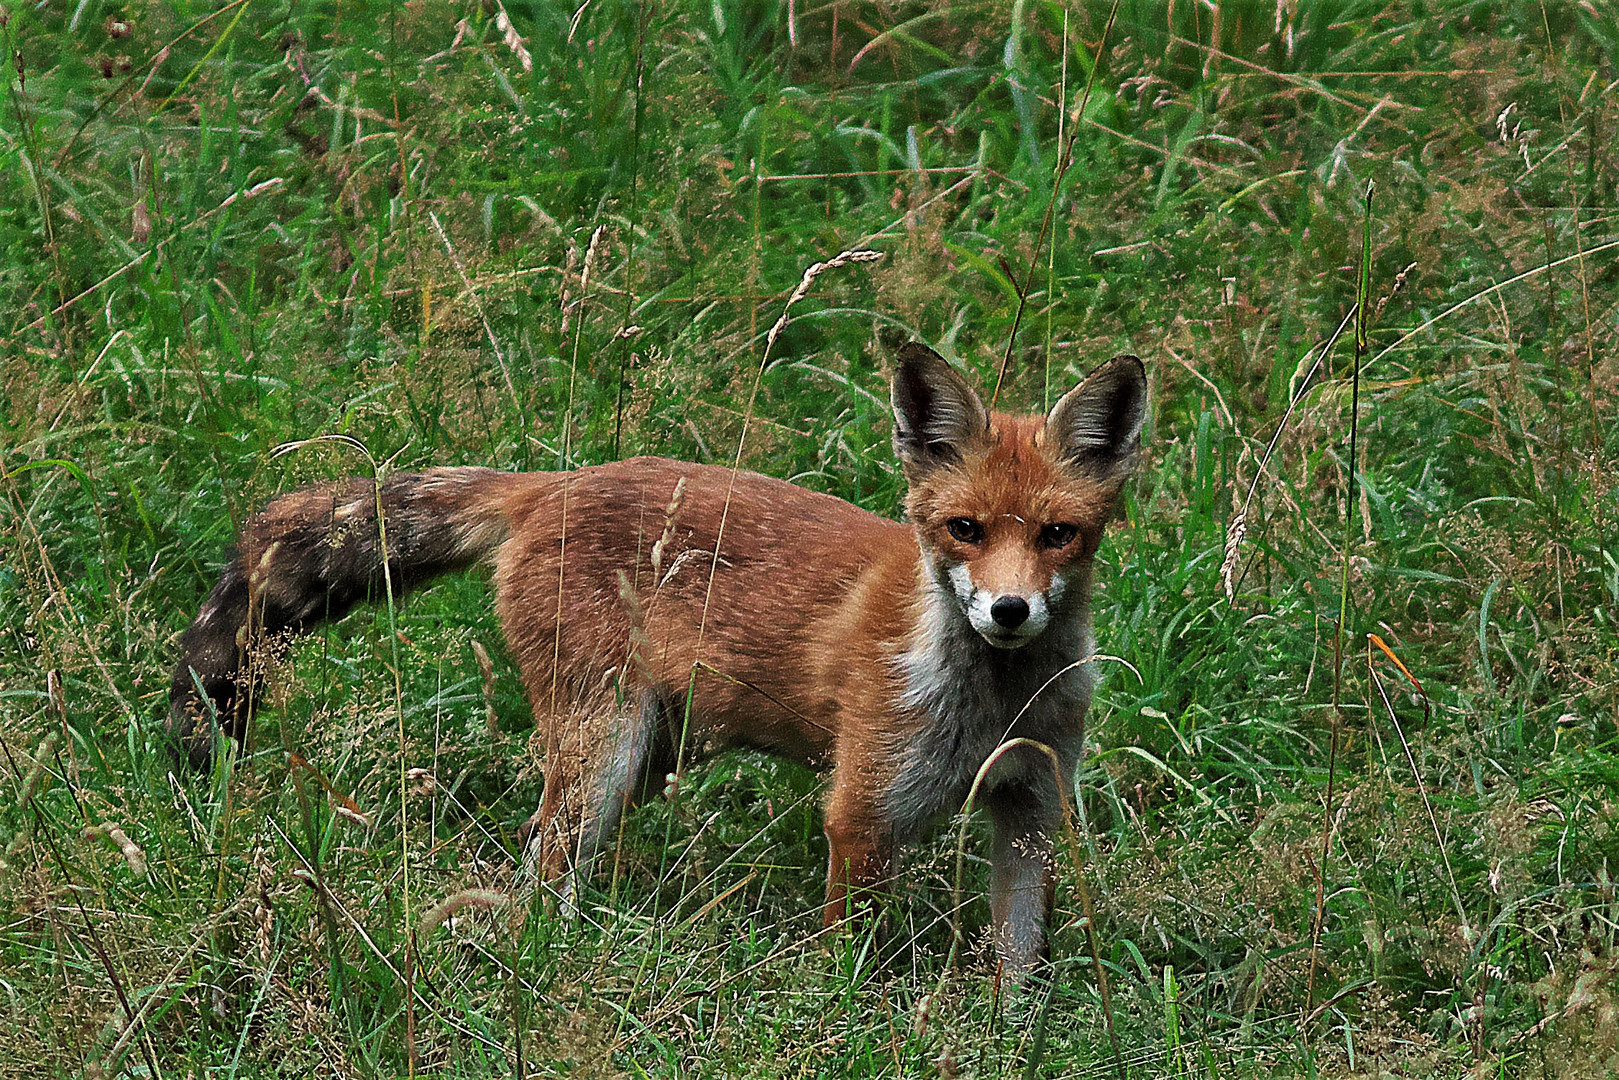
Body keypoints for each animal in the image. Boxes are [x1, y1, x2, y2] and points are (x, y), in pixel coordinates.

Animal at [170, 346, 1146, 977]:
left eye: (1059, 535)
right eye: (964, 530)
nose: (1009, 611)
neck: (993, 709)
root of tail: (550, 484)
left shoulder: (1032, 806)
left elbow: (1018, 965)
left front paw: (1010, 1035)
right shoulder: (862, 814)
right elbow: (854, 964)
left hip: (651, 753)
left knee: (536, 863)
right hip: (603, 749)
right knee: (543, 870)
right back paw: (555, 966)